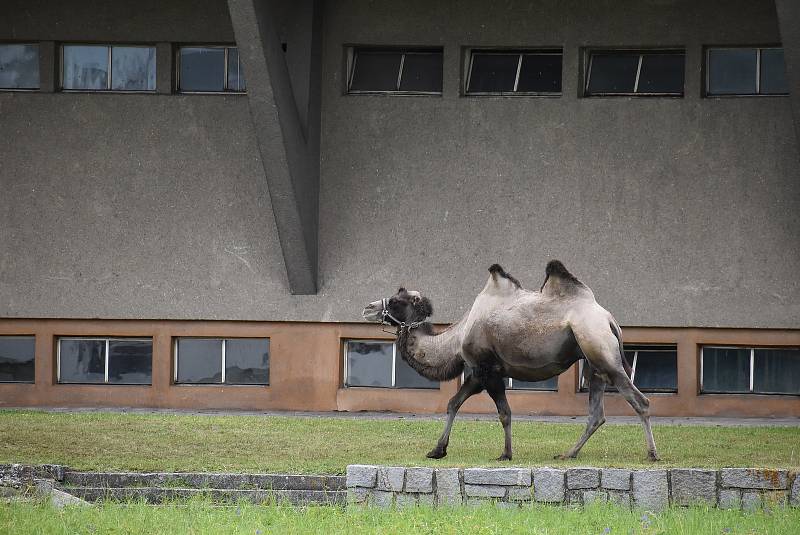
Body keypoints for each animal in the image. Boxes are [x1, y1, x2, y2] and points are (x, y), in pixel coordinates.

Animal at [360, 262, 660, 462]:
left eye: (397, 302)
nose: (367, 307)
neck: (457, 338)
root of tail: (609, 319)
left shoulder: (488, 371)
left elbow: (504, 412)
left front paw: (505, 453)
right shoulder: (477, 374)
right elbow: (453, 403)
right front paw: (437, 450)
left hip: (600, 348)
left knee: (640, 401)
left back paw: (652, 453)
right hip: (592, 360)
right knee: (596, 413)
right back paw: (568, 454)